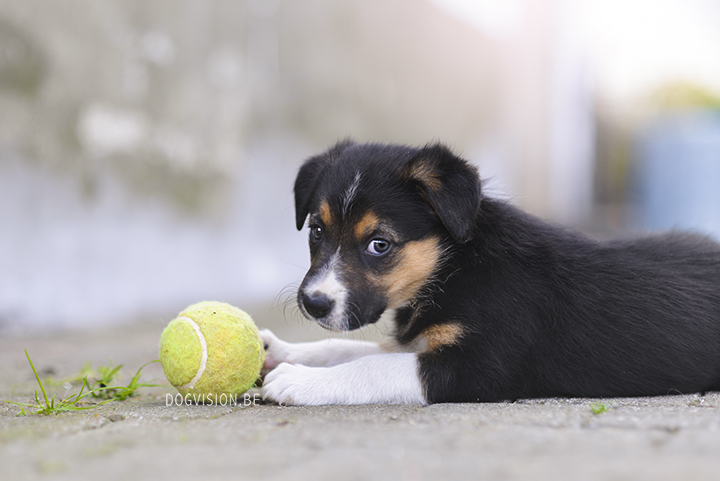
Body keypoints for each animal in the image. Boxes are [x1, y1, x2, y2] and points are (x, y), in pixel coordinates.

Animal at [262, 141, 720, 404]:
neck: (455, 265)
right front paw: (281, 351)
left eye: (380, 244)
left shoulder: (480, 367)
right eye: (317, 231)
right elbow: (344, 349)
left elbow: (372, 367)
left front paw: (298, 382)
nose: (313, 304)